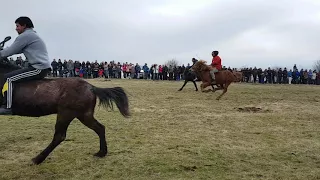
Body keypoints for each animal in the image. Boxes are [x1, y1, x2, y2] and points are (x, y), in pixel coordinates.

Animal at [0, 58, 130, 164]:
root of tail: (91, 87)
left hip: (66, 113)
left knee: (60, 136)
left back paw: (37, 159)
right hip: (83, 115)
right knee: (100, 128)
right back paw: (101, 153)